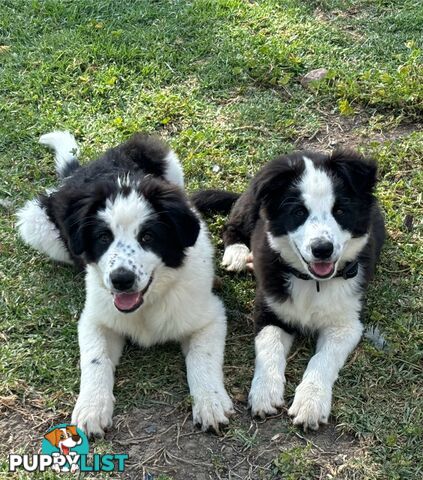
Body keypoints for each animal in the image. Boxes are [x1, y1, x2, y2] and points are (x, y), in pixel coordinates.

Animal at [16, 130, 234, 436]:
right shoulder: (95, 319)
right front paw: (92, 407)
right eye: (103, 238)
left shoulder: (210, 316)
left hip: (163, 158)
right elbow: (95, 359)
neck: (149, 303)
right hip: (37, 226)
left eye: (148, 237)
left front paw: (210, 402)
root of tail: (81, 170)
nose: (121, 280)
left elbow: (203, 356)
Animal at [194, 151, 386, 432]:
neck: (312, 282)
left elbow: (322, 360)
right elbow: (269, 347)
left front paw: (310, 403)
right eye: (298, 212)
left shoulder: (346, 324)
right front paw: (265, 392)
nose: (322, 249)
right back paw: (238, 254)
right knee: (232, 224)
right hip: (252, 203)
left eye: (340, 211)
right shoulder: (268, 309)